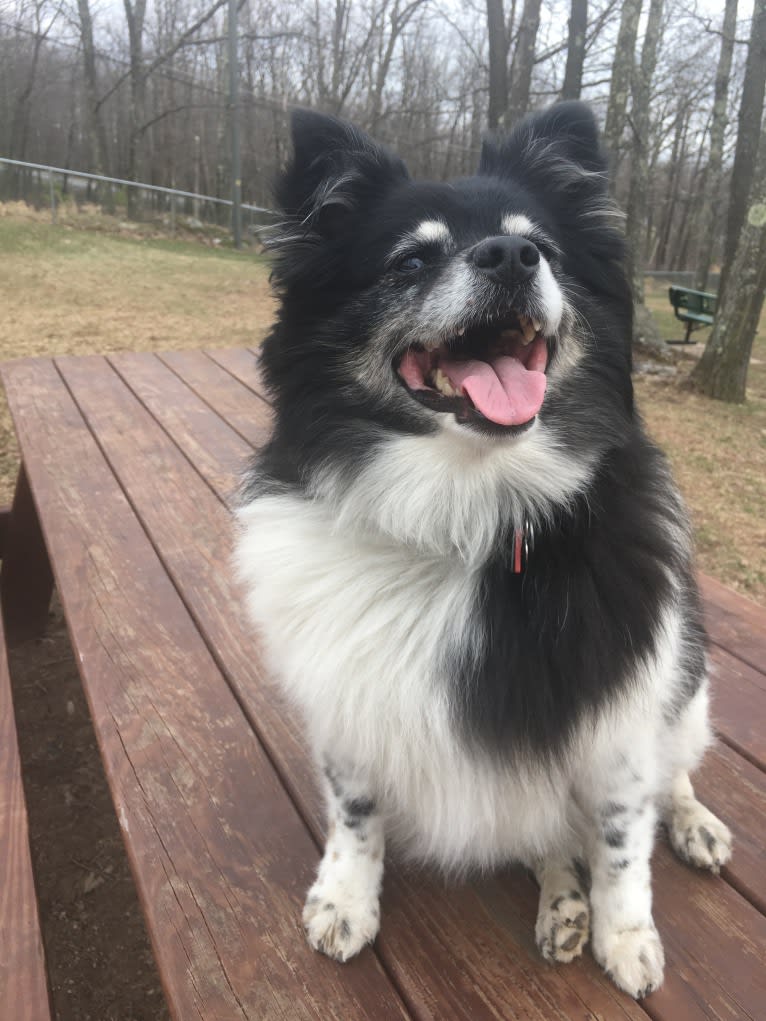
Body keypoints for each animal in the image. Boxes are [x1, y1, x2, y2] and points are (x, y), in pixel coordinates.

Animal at [236, 101, 735, 996]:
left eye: (544, 246)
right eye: (413, 259)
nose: (510, 255)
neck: (471, 505)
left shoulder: (619, 718)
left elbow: (620, 837)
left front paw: (627, 933)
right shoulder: (349, 702)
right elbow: (356, 811)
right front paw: (346, 897)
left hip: (686, 689)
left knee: (670, 772)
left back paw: (685, 828)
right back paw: (562, 902)